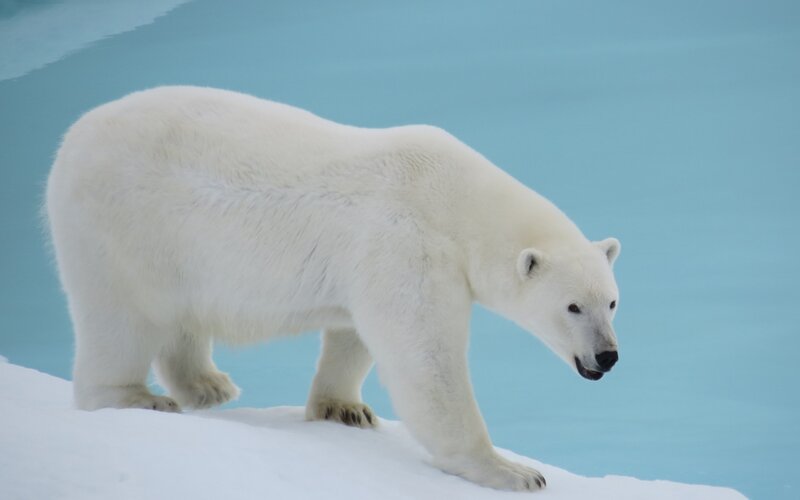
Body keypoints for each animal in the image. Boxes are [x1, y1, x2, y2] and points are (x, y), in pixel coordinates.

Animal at [45, 86, 621, 492]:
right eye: (573, 307)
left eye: (613, 301)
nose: (607, 356)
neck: (454, 198)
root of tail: (73, 138)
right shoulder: (407, 243)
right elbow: (425, 360)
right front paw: (513, 470)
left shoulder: (373, 261)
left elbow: (354, 334)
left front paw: (344, 409)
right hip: (122, 225)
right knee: (120, 318)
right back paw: (137, 397)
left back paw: (208, 384)